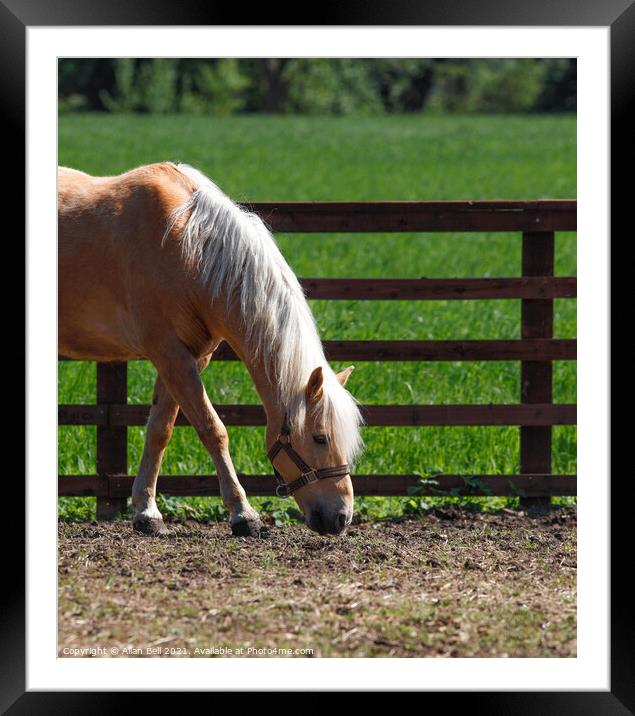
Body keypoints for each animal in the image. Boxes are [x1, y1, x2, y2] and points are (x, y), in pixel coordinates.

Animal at [59, 162, 362, 536]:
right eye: (320, 438)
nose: (341, 517)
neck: (189, 245)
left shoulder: (187, 358)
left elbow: (159, 431)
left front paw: (147, 513)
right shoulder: (171, 355)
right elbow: (213, 430)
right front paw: (243, 514)